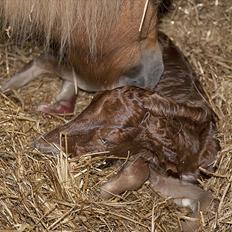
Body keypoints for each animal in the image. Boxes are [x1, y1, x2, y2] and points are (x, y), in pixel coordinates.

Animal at [34, 33, 219, 232]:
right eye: (89, 106)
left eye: (106, 140)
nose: (42, 143)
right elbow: (139, 171)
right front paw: (105, 191)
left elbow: (207, 199)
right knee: (47, 61)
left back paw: (59, 107)